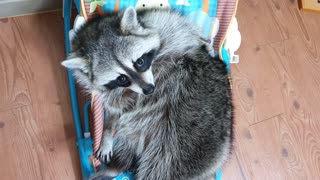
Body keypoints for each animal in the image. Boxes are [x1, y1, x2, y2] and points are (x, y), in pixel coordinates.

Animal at [62, 7, 232, 180]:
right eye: (121, 78)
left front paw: (204, 43)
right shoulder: (106, 90)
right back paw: (112, 169)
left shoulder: (167, 25)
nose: (149, 90)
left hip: (184, 142)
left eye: (140, 62)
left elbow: (186, 33)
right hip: (134, 136)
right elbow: (112, 109)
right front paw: (107, 132)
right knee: (126, 151)